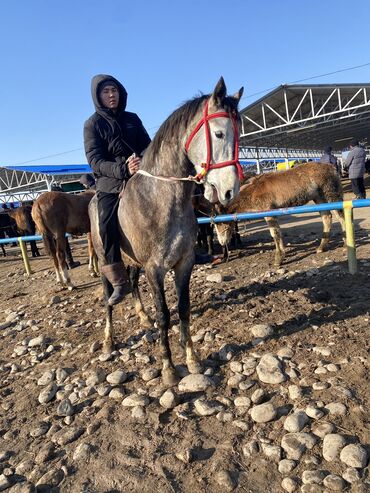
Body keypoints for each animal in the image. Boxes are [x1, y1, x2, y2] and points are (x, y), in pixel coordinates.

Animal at [215, 162, 346, 266]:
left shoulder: (268, 211)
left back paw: (345, 241)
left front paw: (278, 259)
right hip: (318, 198)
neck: (253, 191)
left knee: (341, 216)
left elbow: (275, 233)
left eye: (220, 222)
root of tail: (331, 167)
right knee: (327, 218)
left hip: (330, 194)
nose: (222, 242)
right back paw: (320, 248)